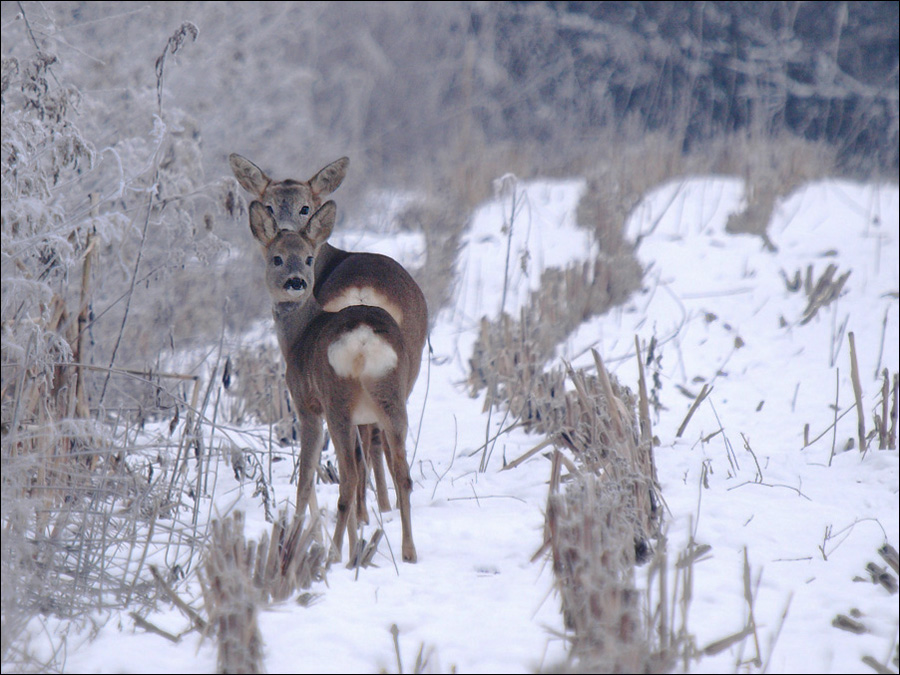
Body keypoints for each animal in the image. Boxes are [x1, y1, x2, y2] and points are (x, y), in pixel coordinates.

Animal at [230, 156, 430, 520]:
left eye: (305, 207)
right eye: (269, 204)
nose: (285, 231)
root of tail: (362, 291)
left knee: (365, 441)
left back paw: (372, 510)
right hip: (399, 371)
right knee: (375, 437)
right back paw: (380, 508)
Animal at [244, 201, 416, 564]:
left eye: (309, 258)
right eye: (276, 258)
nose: (296, 282)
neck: (298, 336)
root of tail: (363, 339)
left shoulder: (306, 406)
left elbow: (305, 479)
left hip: (337, 402)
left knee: (349, 478)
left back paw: (334, 557)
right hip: (392, 398)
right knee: (402, 474)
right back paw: (407, 552)